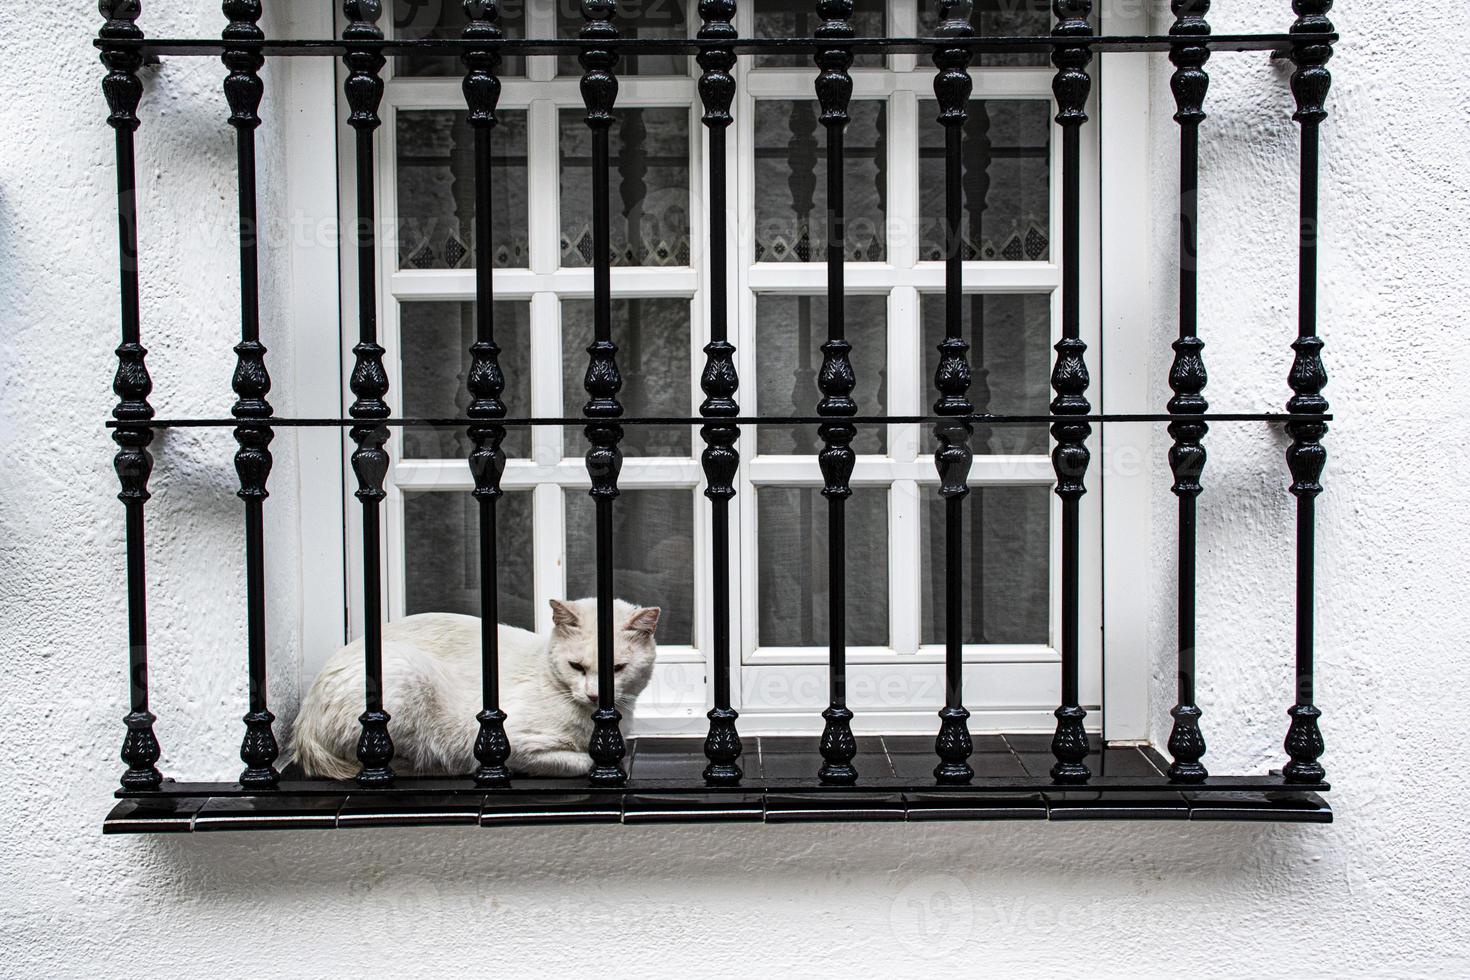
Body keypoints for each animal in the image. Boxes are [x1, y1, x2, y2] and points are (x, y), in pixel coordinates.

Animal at [289, 602, 658, 775]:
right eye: (577, 667)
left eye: (617, 669)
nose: (595, 695)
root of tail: (303, 724)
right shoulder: (513, 742)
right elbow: (582, 761)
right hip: (405, 676)